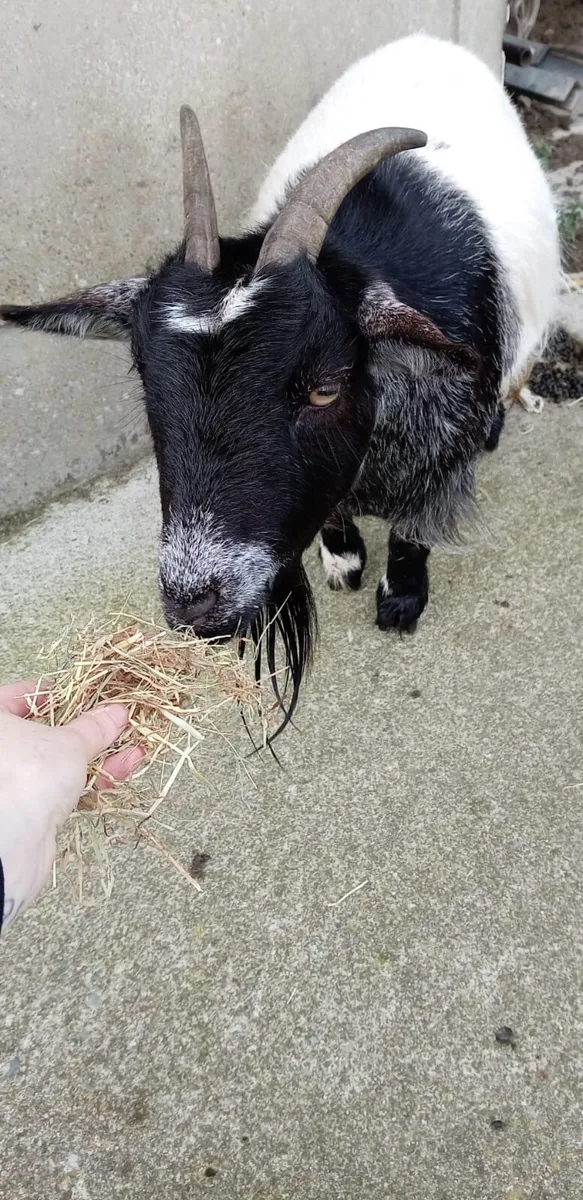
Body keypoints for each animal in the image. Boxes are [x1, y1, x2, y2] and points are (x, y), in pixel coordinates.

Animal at [1, 34, 559, 731]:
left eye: (324, 387)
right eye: (143, 373)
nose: (194, 602)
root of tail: (430, 42)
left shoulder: (442, 449)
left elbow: (412, 529)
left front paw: (400, 600)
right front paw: (344, 561)